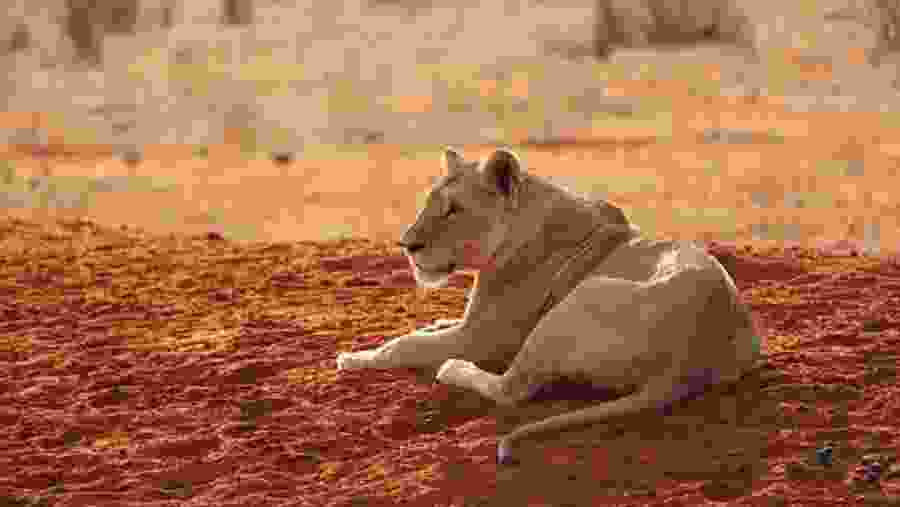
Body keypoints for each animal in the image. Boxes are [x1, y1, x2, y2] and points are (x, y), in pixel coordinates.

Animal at [337, 147, 761, 465]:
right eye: (430, 202)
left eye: (454, 209)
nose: (407, 245)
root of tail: (687, 366)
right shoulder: (470, 324)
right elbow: (424, 330)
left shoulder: (480, 339)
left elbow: (404, 344)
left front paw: (354, 359)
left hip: (582, 296)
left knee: (511, 389)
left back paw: (452, 369)